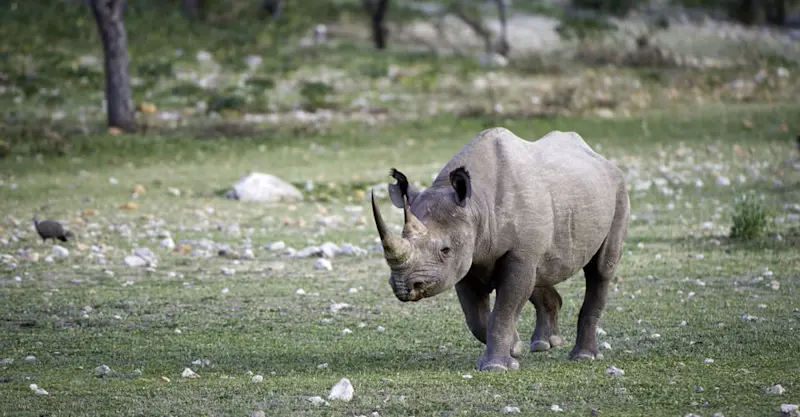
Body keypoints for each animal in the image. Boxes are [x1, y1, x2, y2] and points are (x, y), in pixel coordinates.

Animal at [370, 127, 630, 372]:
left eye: (445, 250)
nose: (404, 287)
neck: (476, 205)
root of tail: (601, 158)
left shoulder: (513, 254)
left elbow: (504, 309)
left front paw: (497, 366)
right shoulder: (467, 259)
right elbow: (476, 318)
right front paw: (514, 347)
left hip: (618, 190)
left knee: (600, 270)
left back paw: (583, 356)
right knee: (540, 272)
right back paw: (545, 344)